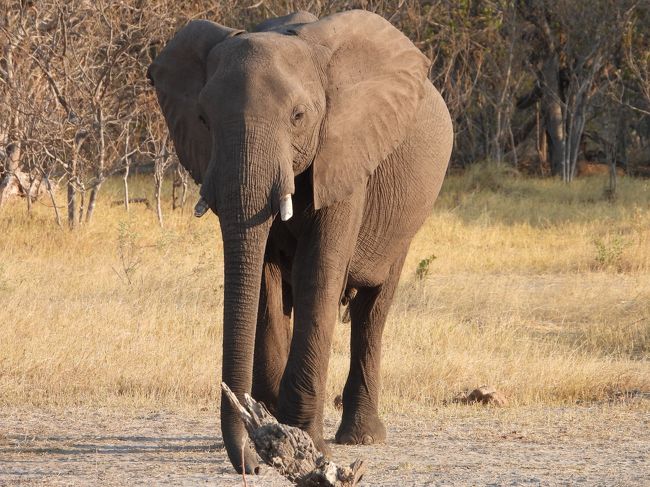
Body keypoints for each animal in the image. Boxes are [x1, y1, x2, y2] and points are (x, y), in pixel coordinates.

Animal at [147, 8, 450, 476]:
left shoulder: (347, 155)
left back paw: (361, 437)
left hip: (405, 220)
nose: (251, 467)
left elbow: (318, 273)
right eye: (203, 120)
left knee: (373, 309)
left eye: (298, 117)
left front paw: (303, 441)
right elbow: (262, 280)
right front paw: (274, 435)